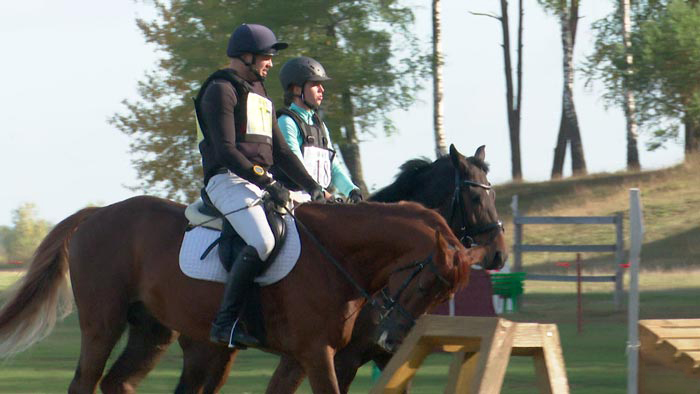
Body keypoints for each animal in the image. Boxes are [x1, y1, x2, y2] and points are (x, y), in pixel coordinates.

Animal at [0, 195, 498, 392]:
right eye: (427, 282)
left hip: (152, 332)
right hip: (103, 325)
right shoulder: (319, 355)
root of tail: (96, 213)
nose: (394, 340)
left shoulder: (302, 356)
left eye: (441, 297)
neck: (335, 254)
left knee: (117, 381)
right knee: (85, 381)